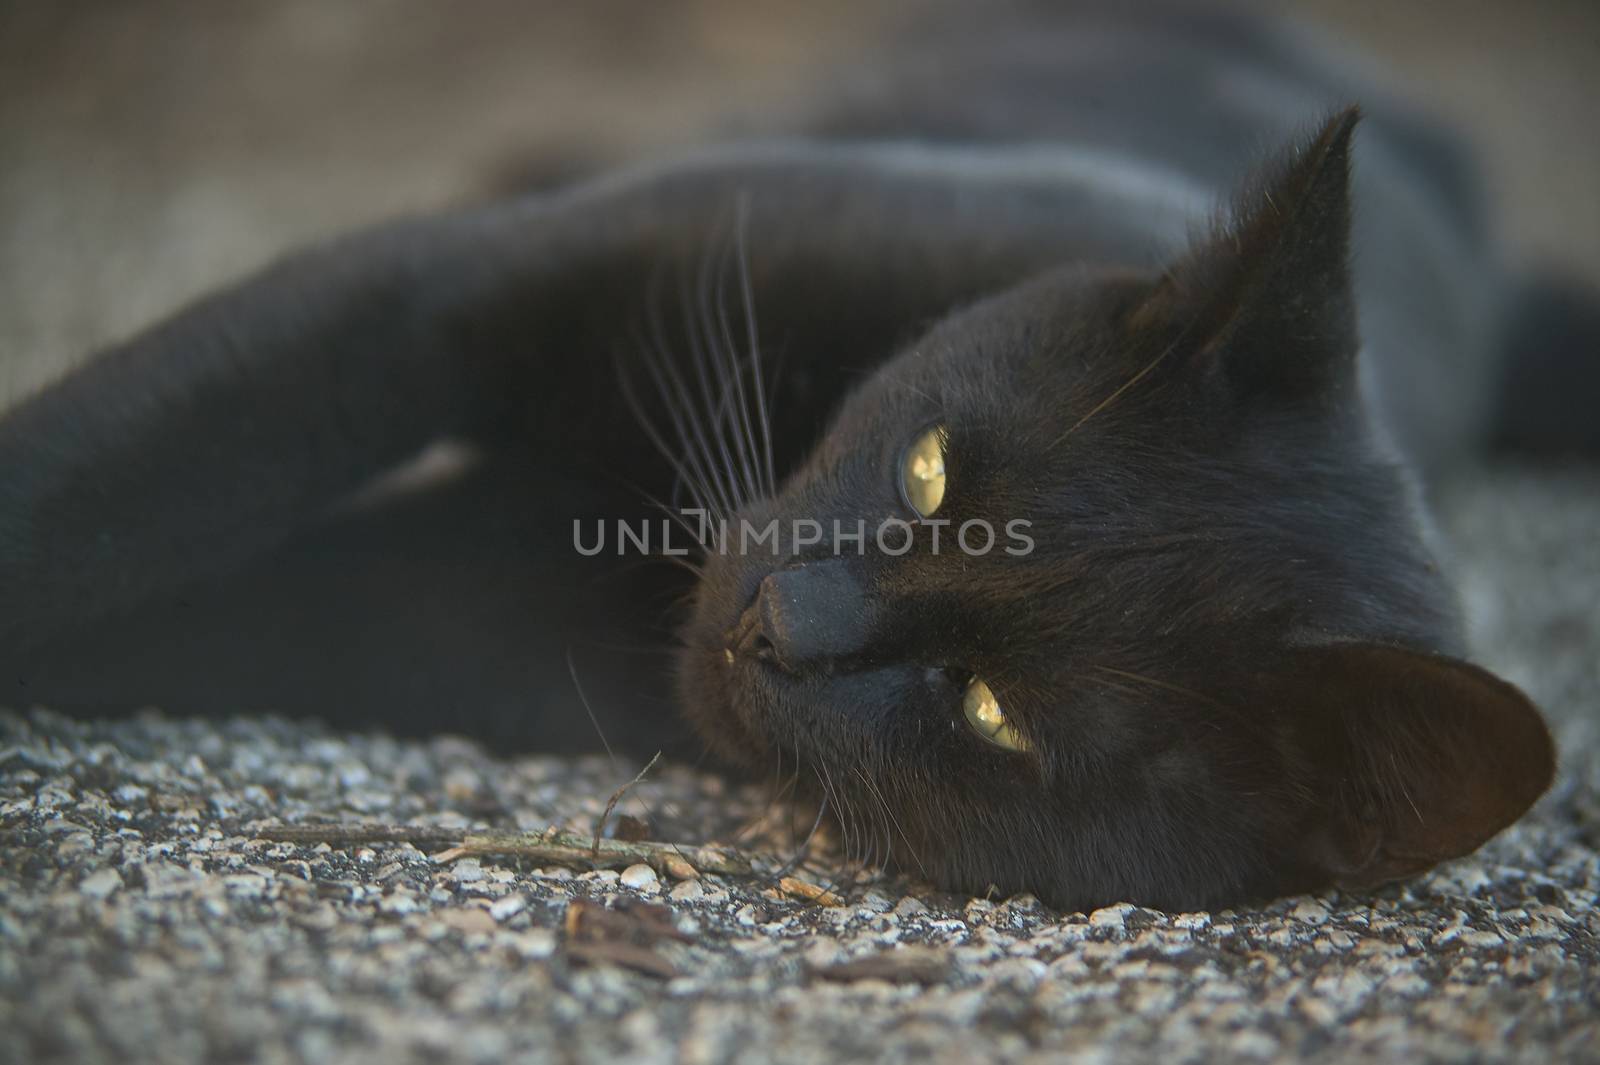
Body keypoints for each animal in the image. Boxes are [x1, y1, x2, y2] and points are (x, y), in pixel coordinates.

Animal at [0, 6, 1561, 901]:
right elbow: (127, 469)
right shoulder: (449, 292)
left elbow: (188, 592)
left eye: (992, 711)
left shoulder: (443, 606)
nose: (780, 624)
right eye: (930, 469)